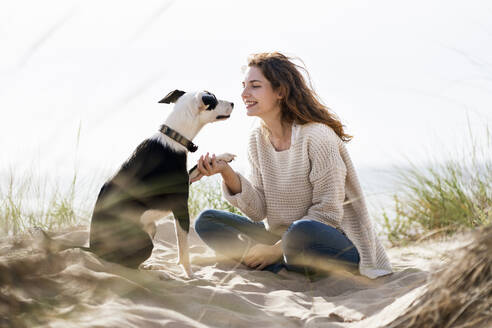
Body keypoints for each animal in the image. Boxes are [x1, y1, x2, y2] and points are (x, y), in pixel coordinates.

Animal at [37, 89, 234, 276]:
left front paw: (223, 157)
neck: (173, 136)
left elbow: (197, 169)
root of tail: (93, 249)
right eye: (215, 100)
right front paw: (189, 273)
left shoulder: (187, 180)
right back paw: (159, 273)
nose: (233, 103)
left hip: (150, 228)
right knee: (126, 266)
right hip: (144, 241)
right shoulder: (180, 205)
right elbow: (183, 248)